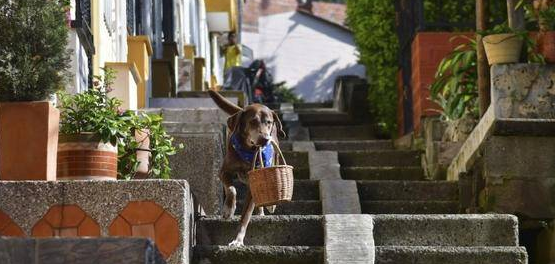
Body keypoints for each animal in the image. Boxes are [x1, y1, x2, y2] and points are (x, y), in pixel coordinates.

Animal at [208, 89, 286, 246]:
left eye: (268, 122)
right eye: (253, 121)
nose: (265, 139)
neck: (248, 149)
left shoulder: (253, 183)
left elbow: (246, 216)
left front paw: (238, 240)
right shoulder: (224, 171)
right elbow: (231, 189)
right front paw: (228, 210)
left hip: (274, 159)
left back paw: (269, 207)